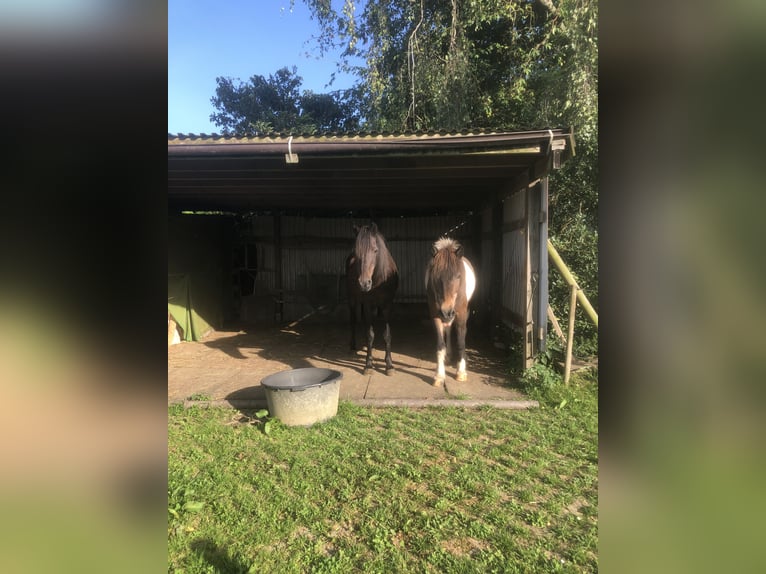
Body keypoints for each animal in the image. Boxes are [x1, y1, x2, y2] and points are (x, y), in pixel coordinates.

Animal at [346, 223, 399, 375]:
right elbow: (370, 335)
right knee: (353, 320)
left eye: (375, 250)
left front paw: (389, 365)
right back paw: (353, 346)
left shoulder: (387, 305)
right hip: (353, 300)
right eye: (357, 253)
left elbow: (387, 334)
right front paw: (368, 365)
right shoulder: (369, 304)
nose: (364, 283)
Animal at [425, 237, 476, 386]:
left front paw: (461, 372)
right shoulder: (435, 314)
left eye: (458, 276)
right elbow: (440, 345)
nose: (447, 311)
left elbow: (461, 341)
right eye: (435, 277)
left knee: (462, 331)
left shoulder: (461, 313)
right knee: (447, 329)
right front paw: (439, 376)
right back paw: (448, 355)